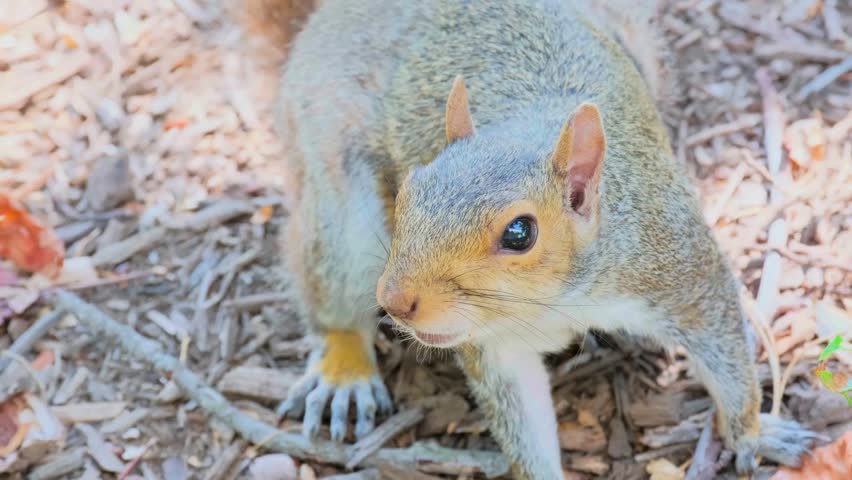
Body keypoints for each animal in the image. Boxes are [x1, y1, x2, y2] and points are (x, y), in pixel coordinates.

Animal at [261, 0, 819, 477]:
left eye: (519, 233)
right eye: (409, 191)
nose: (397, 301)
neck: (557, 298)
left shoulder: (677, 264)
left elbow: (725, 351)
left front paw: (752, 433)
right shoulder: (493, 347)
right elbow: (522, 418)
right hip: (340, 206)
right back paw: (345, 371)